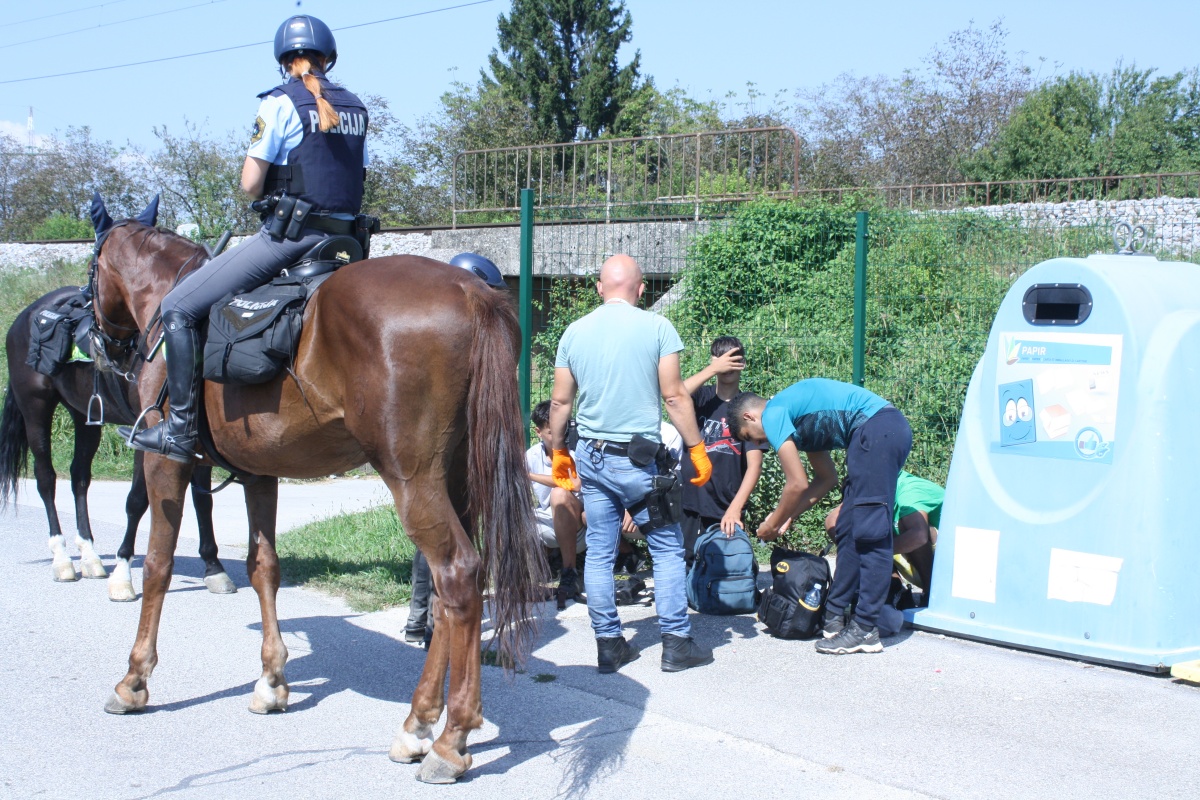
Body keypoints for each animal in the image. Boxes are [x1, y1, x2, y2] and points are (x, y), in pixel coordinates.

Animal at [0, 287, 232, 599]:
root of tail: (24, 317)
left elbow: (202, 501)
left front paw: (214, 567)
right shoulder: (145, 433)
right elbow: (137, 500)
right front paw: (123, 575)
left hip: (83, 415)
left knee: (79, 477)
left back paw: (89, 556)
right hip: (35, 409)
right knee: (46, 479)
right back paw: (62, 560)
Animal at [93, 196, 544, 786]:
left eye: (92, 268)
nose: (103, 343)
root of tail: (470, 291)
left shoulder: (163, 461)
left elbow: (158, 566)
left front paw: (135, 680)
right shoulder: (259, 472)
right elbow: (263, 566)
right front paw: (271, 681)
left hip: (413, 480)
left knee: (458, 574)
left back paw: (450, 740)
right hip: (458, 480)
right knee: (448, 598)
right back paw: (420, 723)